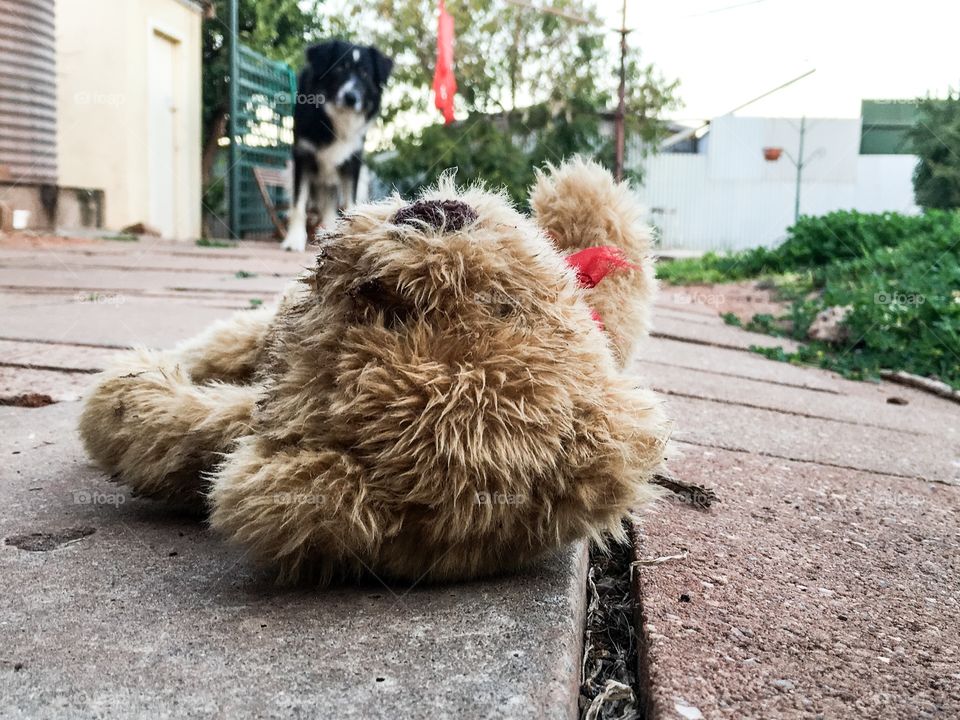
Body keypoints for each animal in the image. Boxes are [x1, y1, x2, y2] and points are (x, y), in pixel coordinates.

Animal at [282, 40, 394, 253]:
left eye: (365, 74)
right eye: (340, 69)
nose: (351, 97)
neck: (335, 119)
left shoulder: (352, 163)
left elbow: (350, 203)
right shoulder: (303, 157)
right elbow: (298, 204)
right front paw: (294, 240)